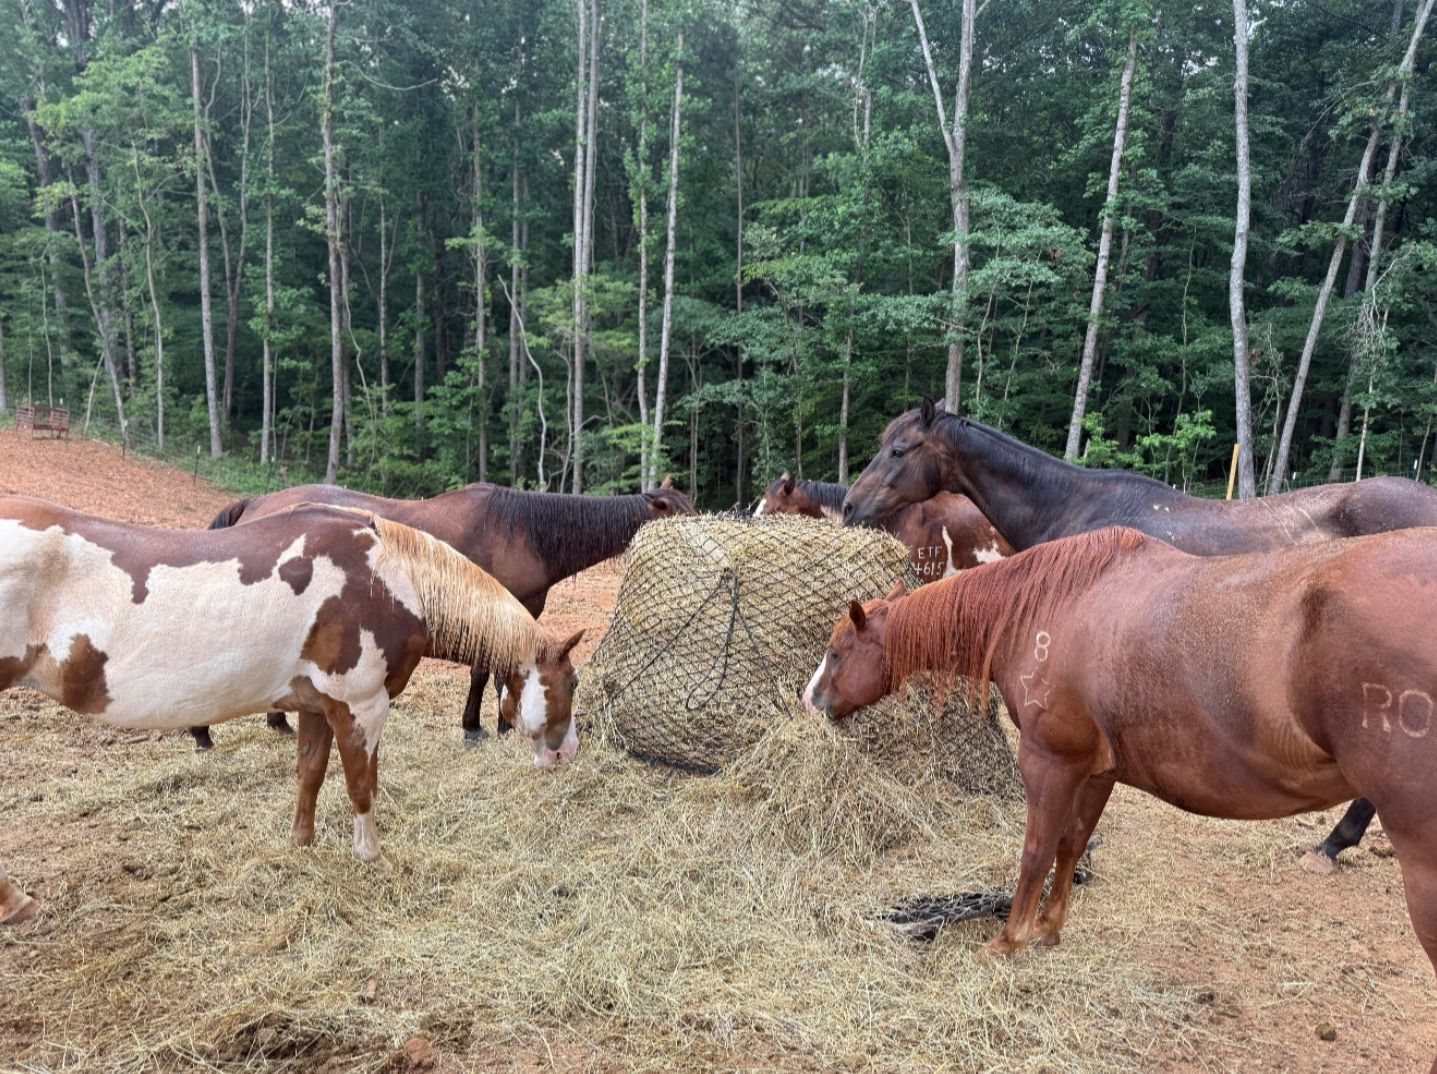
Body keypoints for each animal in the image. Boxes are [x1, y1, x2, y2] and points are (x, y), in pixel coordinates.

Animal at [0, 497, 581, 922]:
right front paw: (371, 855)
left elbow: (310, 773)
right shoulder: (360, 706)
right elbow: (362, 785)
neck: (391, 578)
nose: (567, 753)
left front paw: (301, 843)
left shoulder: (316, 705)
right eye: (572, 683)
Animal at [189, 478, 694, 749]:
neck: (524, 532)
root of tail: (255, 504)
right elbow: (483, 671)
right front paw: (477, 726)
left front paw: (502, 723)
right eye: (680, 517)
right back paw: (202, 731)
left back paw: (275, 722)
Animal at [802, 526, 1437, 1071]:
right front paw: (1049, 928)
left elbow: (1036, 852)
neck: (1048, 608)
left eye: (837, 651)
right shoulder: (1096, 773)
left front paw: (1009, 940)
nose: (811, 701)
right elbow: (1072, 845)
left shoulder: (1050, 765)